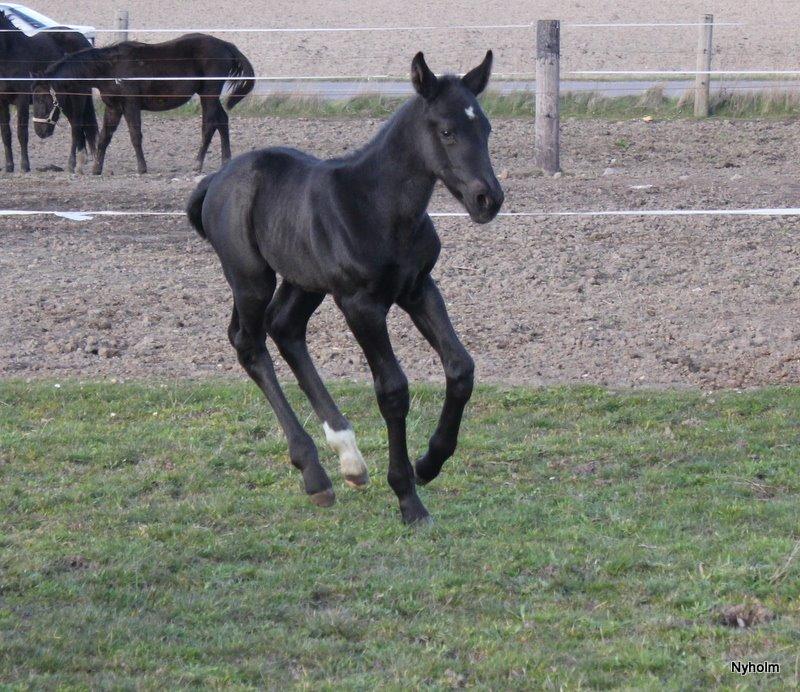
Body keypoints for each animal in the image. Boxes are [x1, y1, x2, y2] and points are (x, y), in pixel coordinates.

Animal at [0, 10, 97, 172]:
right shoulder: (2, 101)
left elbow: (22, 132)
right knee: (77, 126)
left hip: (77, 96)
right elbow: (6, 133)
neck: (9, 55)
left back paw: (73, 164)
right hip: (64, 100)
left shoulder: (22, 99)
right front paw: (9, 167)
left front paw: (25, 166)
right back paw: (80, 162)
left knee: (77, 126)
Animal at [32, 34, 253, 176]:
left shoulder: (130, 104)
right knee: (222, 120)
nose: (39, 131)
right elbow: (104, 137)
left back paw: (197, 164)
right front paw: (96, 169)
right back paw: (226, 161)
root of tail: (227, 45)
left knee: (209, 125)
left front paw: (142, 168)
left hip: (209, 94)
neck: (110, 68)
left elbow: (135, 135)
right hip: (209, 96)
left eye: (42, 98)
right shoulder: (113, 107)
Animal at [186, 50, 500, 524]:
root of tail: (215, 181)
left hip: (304, 281)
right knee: (250, 343)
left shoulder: (418, 288)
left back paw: (349, 458)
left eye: (485, 128)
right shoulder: (360, 304)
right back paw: (315, 473)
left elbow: (461, 367)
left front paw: (428, 463)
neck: (378, 206)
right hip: (251, 278)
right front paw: (408, 498)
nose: (489, 199)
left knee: (285, 329)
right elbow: (392, 390)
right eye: (447, 131)